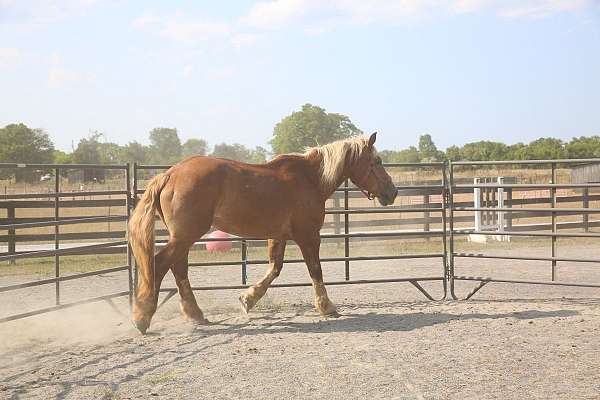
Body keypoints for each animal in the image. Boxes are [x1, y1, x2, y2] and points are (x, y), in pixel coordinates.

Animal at [127, 133, 398, 332]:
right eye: (376, 161)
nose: (392, 192)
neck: (310, 179)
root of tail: (169, 174)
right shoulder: (308, 236)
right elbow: (315, 270)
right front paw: (326, 306)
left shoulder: (278, 236)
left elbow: (274, 269)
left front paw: (248, 299)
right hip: (186, 235)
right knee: (161, 264)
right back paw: (142, 317)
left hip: (184, 237)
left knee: (178, 269)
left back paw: (195, 314)